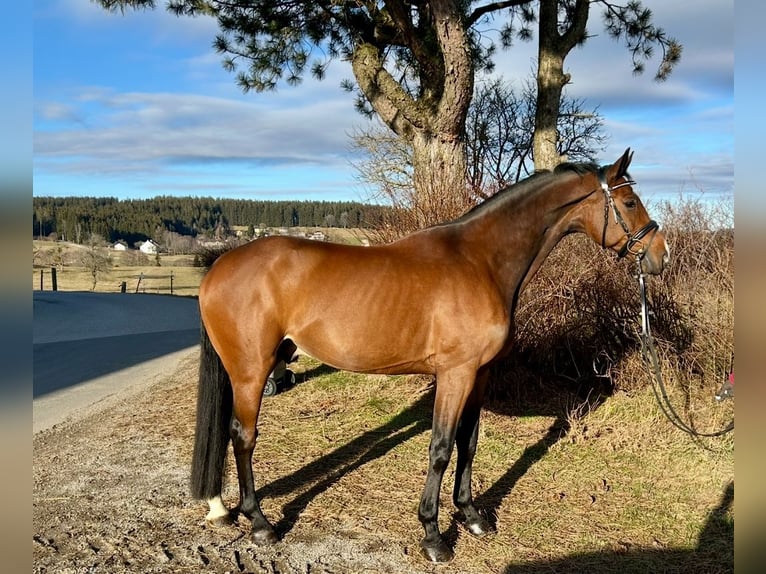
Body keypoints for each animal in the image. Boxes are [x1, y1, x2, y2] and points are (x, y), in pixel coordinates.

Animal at [192, 150, 672, 568]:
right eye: (629, 201)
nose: (660, 255)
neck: (481, 261)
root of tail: (219, 266)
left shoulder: (479, 374)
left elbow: (468, 442)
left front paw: (472, 517)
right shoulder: (454, 374)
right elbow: (440, 448)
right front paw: (433, 537)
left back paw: (223, 509)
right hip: (251, 372)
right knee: (243, 437)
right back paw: (259, 523)